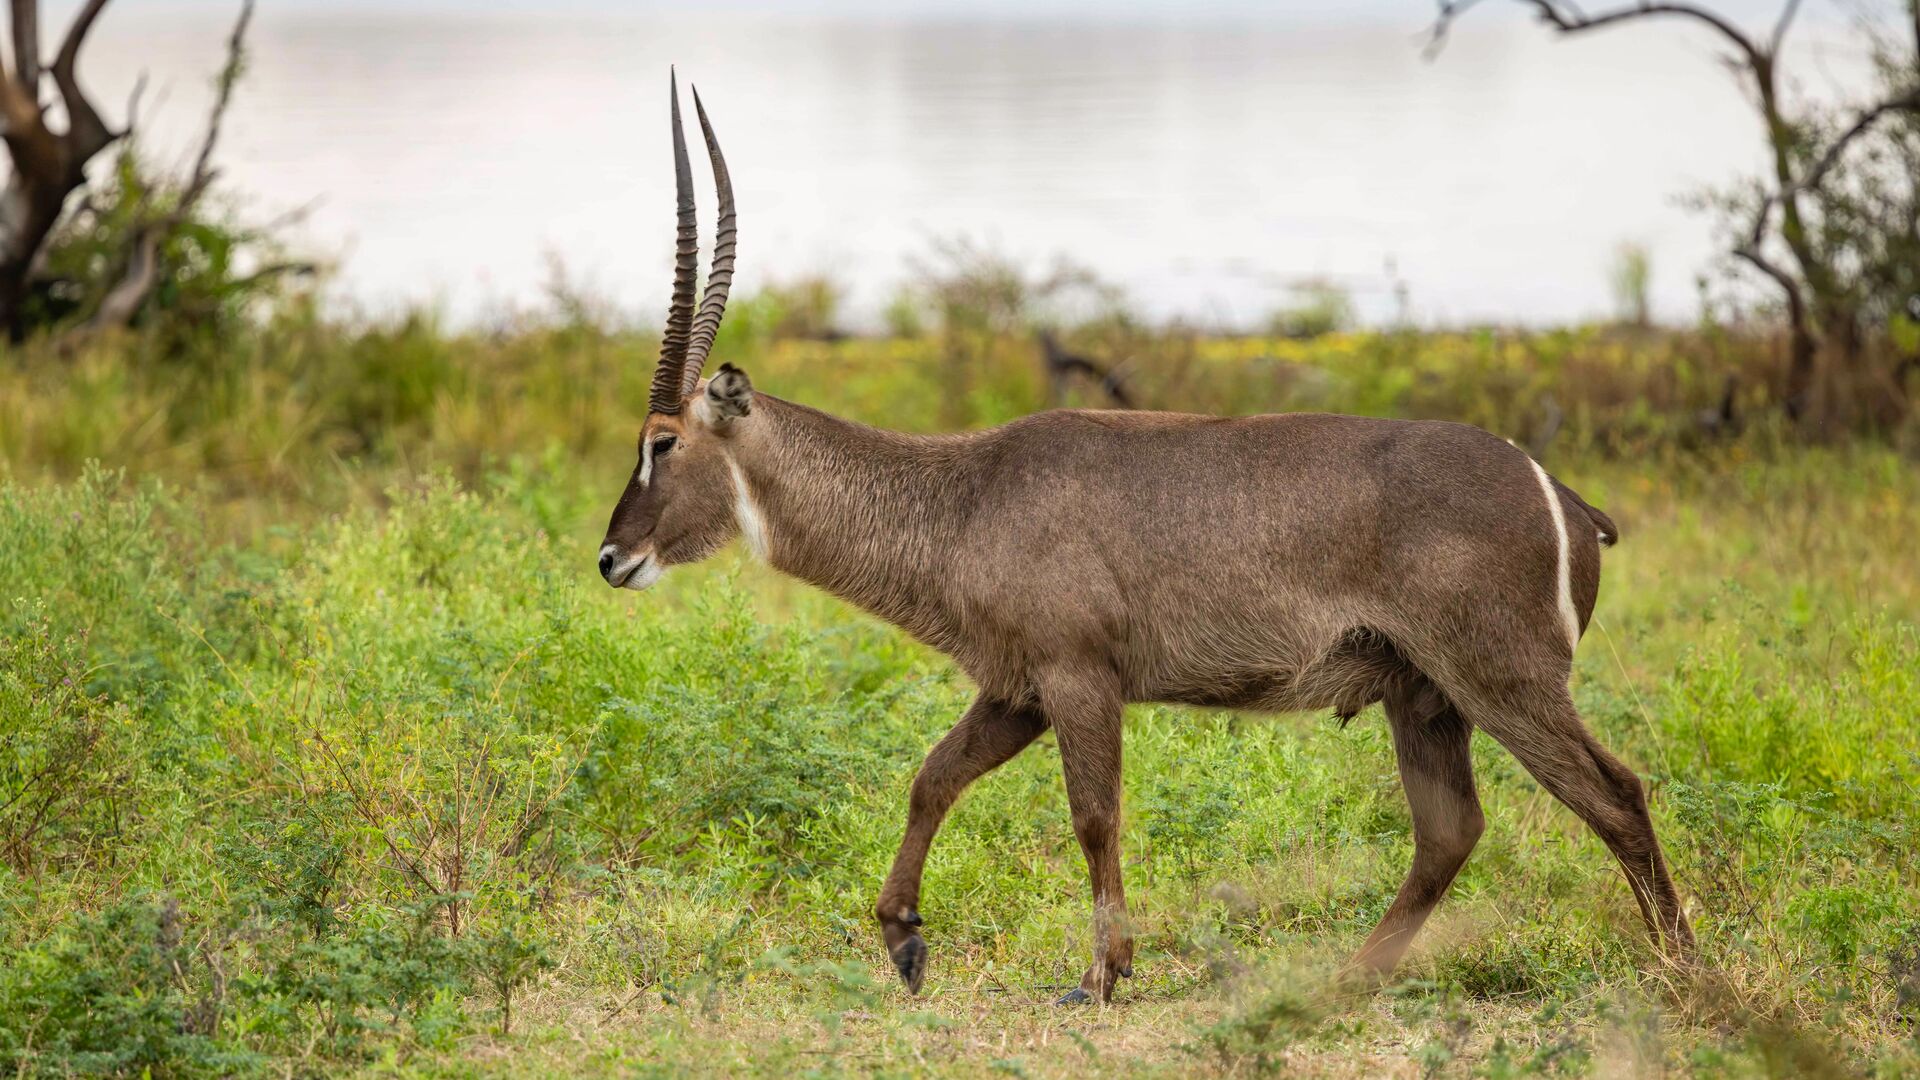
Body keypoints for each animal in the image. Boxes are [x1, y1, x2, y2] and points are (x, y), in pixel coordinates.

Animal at [599, 74, 1694, 1005]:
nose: (611, 559)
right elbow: (932, 777)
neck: (962, 493)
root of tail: (1563, 493)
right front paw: (905, 939)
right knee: (1450, 831)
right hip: (1422, 693)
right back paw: (1350, 976)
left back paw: (1685, 972)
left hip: (1500, 679)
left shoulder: (1079, 678)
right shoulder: (1016, 689)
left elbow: (1093, 817)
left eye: (663, 440)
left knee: (1613, 795)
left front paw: (1103, 973)